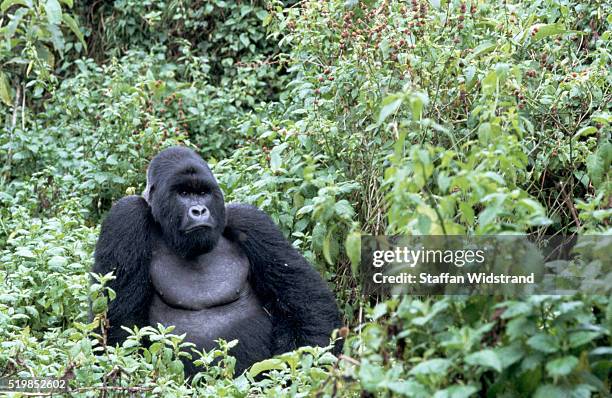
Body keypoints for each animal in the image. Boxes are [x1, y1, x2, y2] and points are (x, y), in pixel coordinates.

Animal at [91, 147, 342, 376]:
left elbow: (307, 304)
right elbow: (119, 325)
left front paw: (307, 371)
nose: (199, 210)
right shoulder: (126, 217)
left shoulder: (251, 221)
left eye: (203, 192)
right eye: (183, 193)